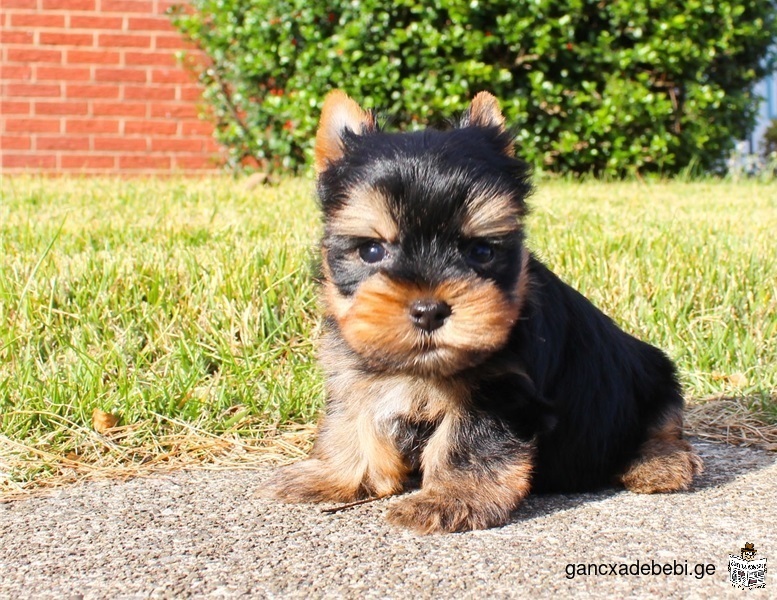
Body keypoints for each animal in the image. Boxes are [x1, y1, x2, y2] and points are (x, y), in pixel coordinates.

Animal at [264, 90, 700, 536]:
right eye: (371, 250)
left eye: (481, 251)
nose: (429, 310)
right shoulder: (356, 372)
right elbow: (350, 422)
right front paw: (331, 474)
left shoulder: (498, 390)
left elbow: (465, 442)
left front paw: (448, 500)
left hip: (654, 377)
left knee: (665, 427)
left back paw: (659, 464)